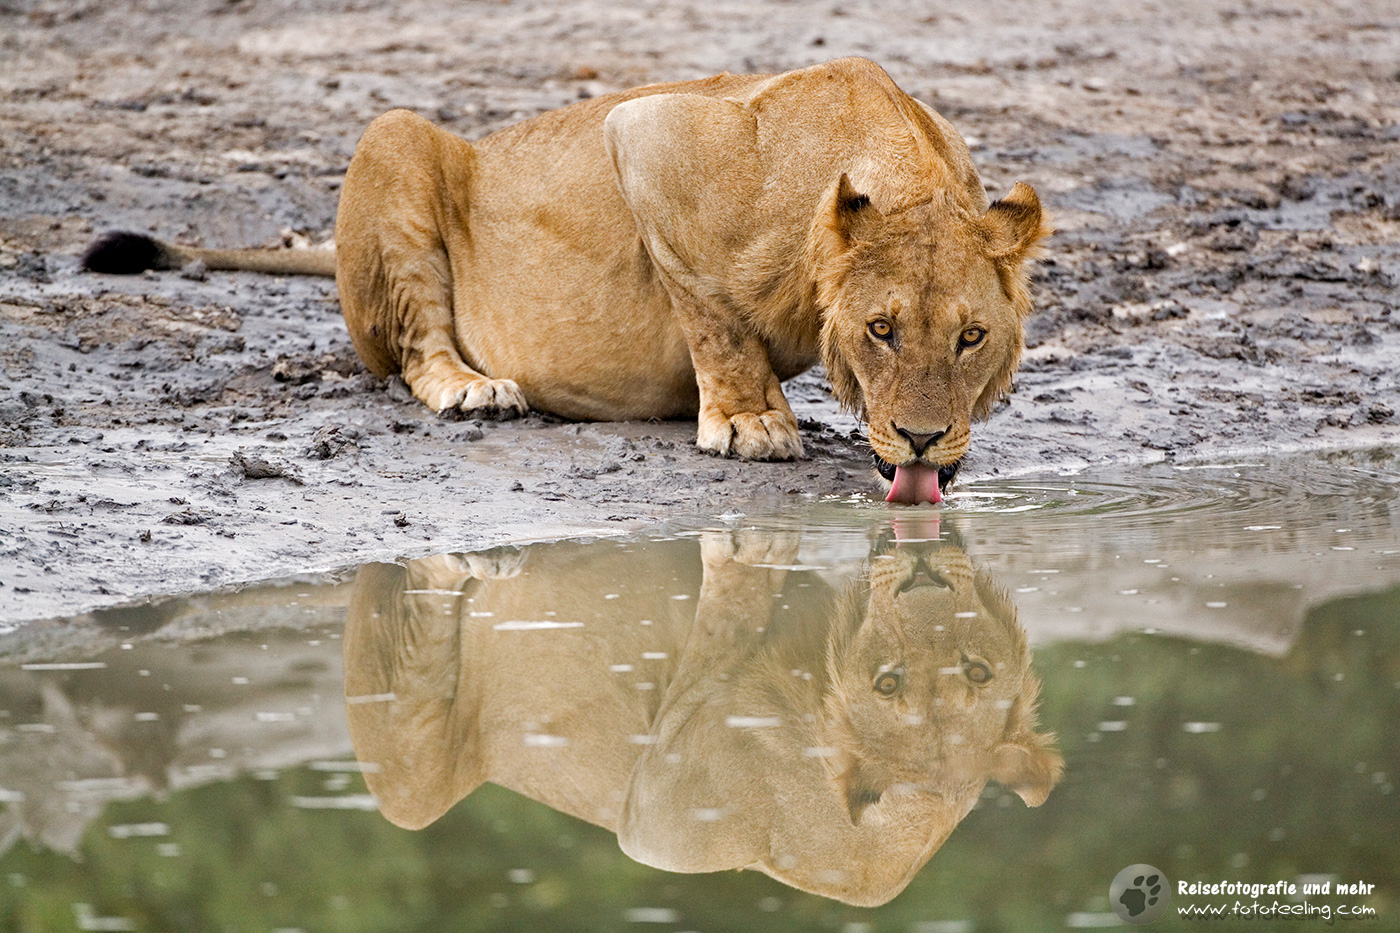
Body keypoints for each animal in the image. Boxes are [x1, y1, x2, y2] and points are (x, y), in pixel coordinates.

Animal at [82, 58, 1049, 503]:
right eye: (880, 330)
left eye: (970, 337)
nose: (921, 439)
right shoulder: (646, 135)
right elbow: (712, 314)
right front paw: (750, 420)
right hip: (396, 140)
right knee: (417, 353)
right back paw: (474, 389)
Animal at [342, 521, 1062, 906]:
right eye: (889, 683)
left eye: (978, 670)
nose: (924, 579)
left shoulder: (658, 810)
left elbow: (724, 625)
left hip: (409, 790)